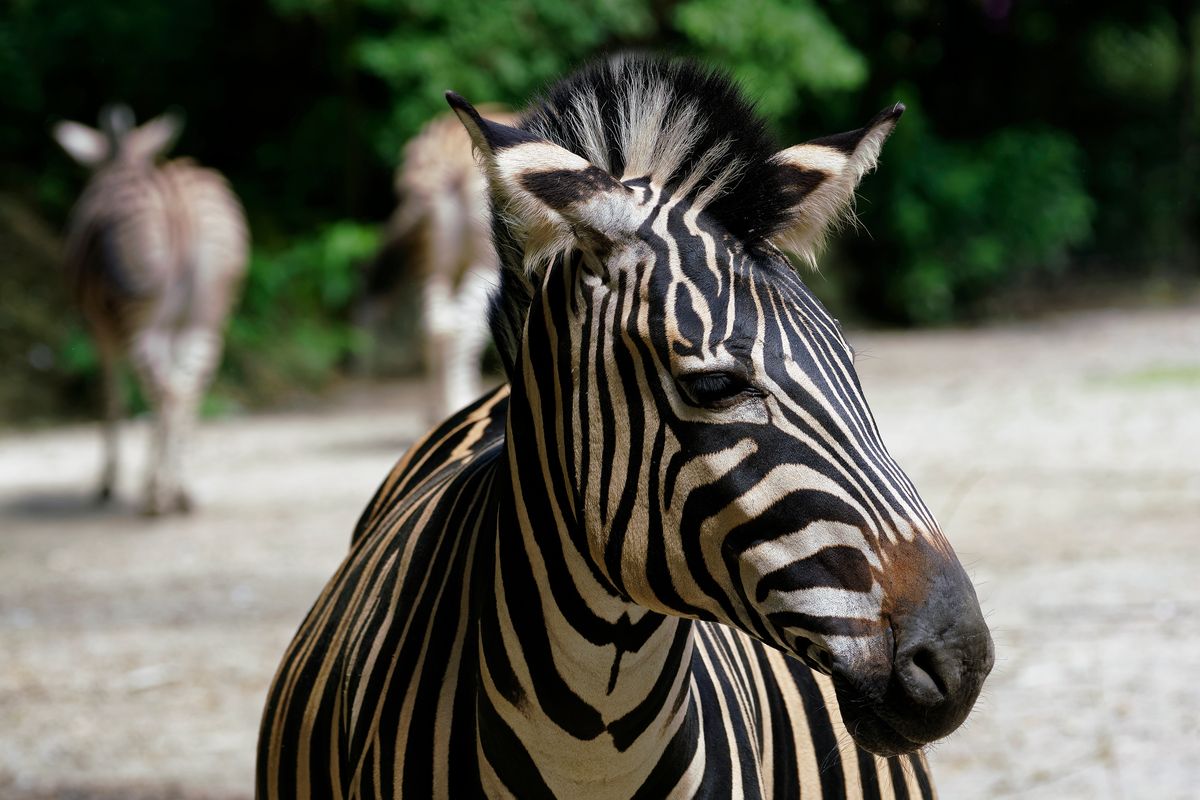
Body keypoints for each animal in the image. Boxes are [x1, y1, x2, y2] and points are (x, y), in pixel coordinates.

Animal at [53, 104, 248, 513]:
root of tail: (177, 200)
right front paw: (151, 479)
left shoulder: (101, 329)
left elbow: (111, 395)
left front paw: (109, 484)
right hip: (203, 319)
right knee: (186, 391)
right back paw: (181, 491)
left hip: (142, 318)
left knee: (165, 391)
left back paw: (158, 498)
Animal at [360, 106, 520, 419]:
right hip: (486, 258)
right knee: (461, 323)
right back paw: (461, 403)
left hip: (433, 257)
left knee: (436, 322)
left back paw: (441, 411)